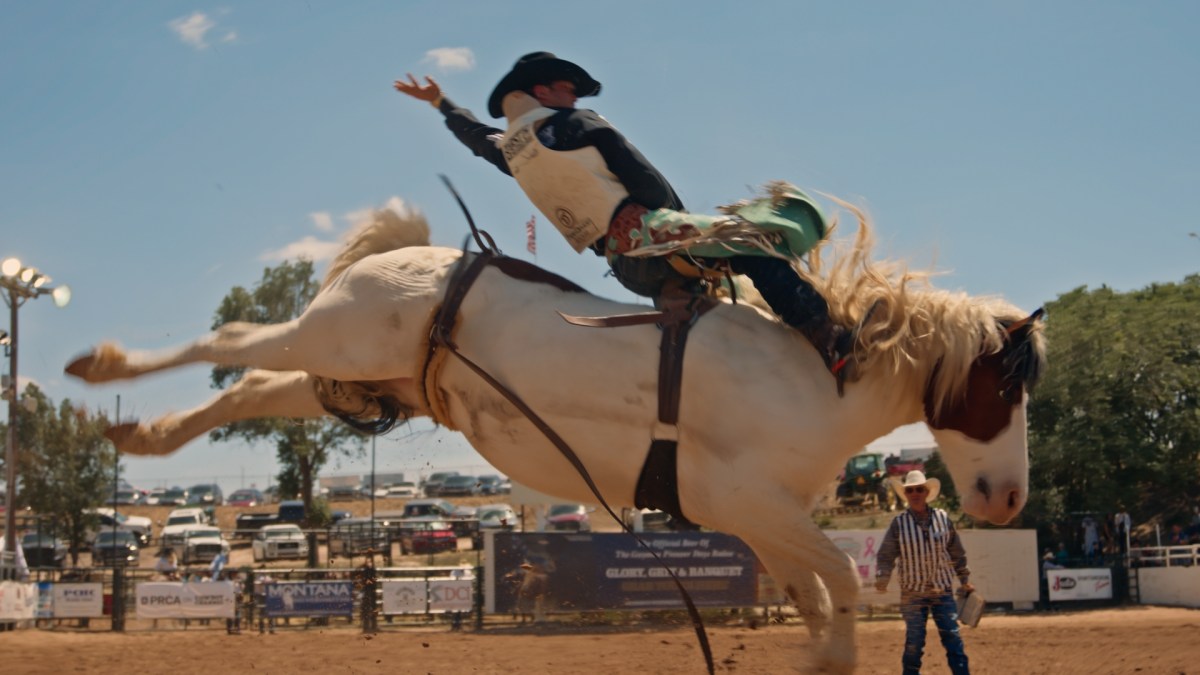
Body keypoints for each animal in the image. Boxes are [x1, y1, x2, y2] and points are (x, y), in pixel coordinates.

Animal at [65, 201, 1045, 673]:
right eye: (1005, 385)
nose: (1007, 498)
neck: (815, 372)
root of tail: (407, 257)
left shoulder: (765, 518)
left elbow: (814, 589)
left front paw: (822, 653)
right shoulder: (744, 501)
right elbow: (840, 574)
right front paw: (833, 655)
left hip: (352, 369)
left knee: (253, 385)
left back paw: (148, 434)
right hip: (330, 336)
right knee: (234, 343)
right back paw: (100, 367)